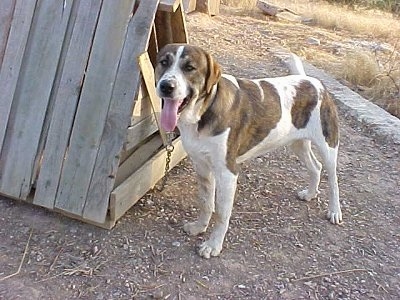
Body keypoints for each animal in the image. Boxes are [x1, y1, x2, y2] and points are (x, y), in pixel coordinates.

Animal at [154, 43, 340, 258]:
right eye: (164, 62)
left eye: (189, 68)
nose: (166, 86)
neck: (204, 111)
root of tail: (312, 81)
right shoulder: (202, 167)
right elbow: (206, 203)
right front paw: (199, 227)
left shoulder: (227, 173)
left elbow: (221, 213)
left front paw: (214, 245)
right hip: (297, 144)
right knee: (315, 167)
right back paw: (310, 193)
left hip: (328, 146)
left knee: (333, 179)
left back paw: (335, 211)